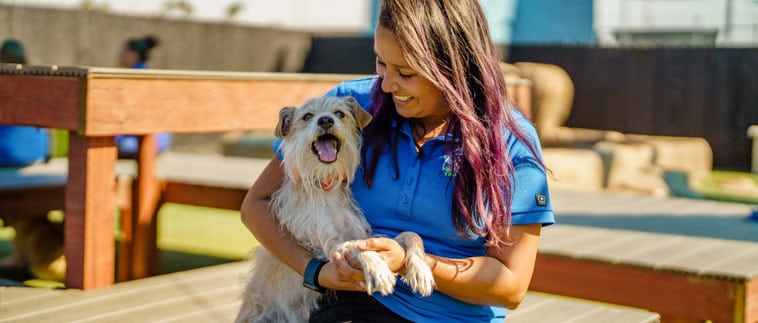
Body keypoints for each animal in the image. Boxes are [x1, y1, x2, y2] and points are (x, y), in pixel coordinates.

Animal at [238, 96, 440, 323]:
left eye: (339, 113)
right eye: (307, 116)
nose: (326, 120)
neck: (326, 189)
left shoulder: (367, 235)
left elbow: (410, 235)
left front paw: (420, 269)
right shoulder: (332, 245)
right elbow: (359, 247)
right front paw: (378, 272)